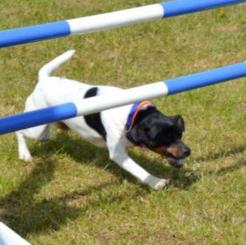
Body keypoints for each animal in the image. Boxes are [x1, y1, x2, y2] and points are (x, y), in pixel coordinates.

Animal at [16, 49, 190, 190]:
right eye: (164, 138)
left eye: (179, 134)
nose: (188, 151)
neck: (132, 114)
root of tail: (44, 80)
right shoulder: (118, 154)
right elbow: (138, 169)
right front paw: (156, 182)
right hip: (36, 129)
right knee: (20, 132)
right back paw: (24, 154)